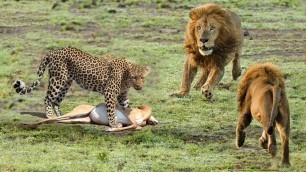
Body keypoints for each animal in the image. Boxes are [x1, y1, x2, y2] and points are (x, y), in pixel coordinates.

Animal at [13, 45, 149, 128]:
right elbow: (110, 111)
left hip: (66, 83)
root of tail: (53, 51)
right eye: (133, 77)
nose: (139, 86)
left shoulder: (122, 96)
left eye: (142, 77)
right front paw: (114, 124)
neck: (126, 79)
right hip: (57, 80)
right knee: (47, 98)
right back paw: (50, 115)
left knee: (56, 101)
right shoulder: (109, 93)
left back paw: (61, 115)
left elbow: (126, 106)